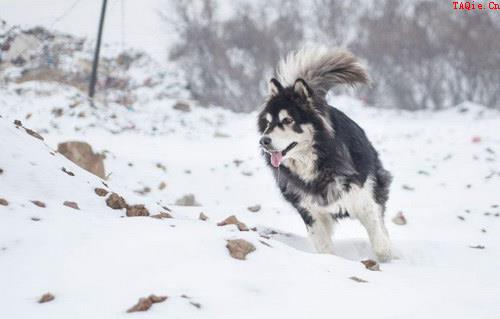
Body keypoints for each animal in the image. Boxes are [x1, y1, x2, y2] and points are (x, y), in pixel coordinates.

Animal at [258, 47, 394, 262]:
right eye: (269, 123)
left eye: (288, 120)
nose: (263, 141)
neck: (318, 160)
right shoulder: (309, 209)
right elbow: (323, 245)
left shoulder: (362, 196)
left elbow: (377, 232)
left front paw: (386, 253)